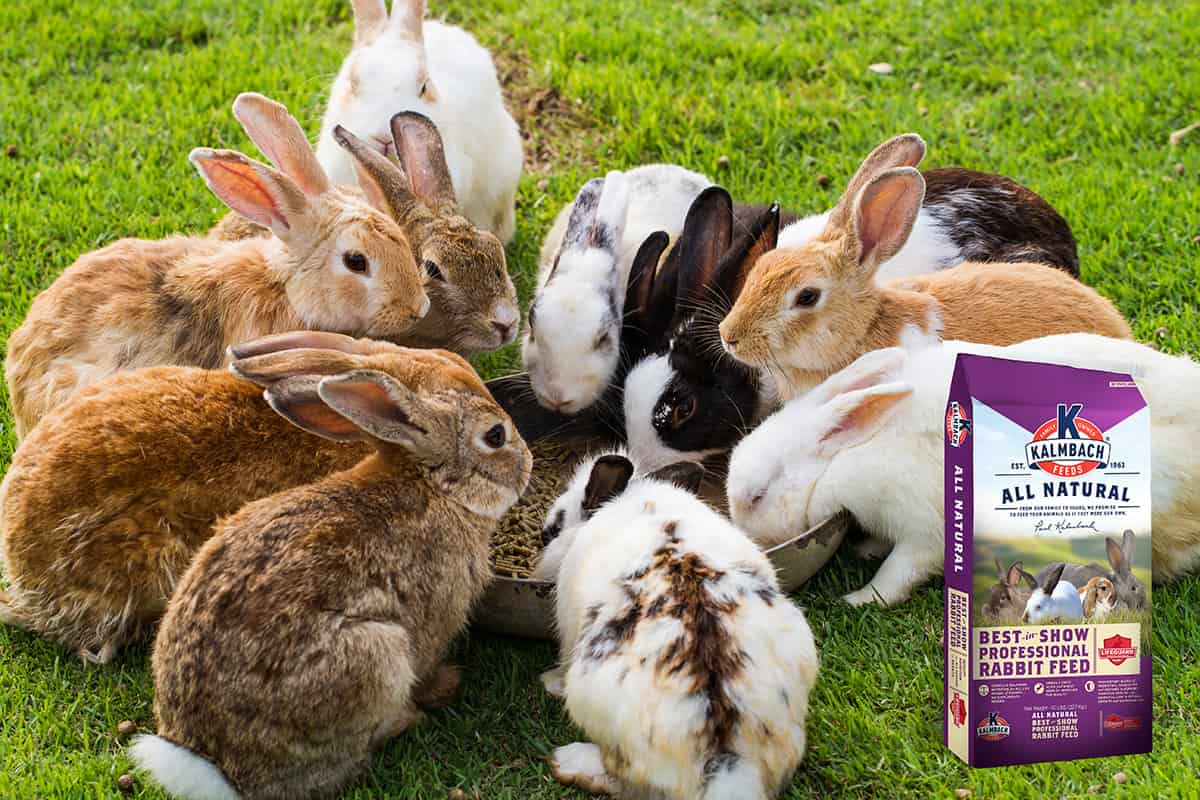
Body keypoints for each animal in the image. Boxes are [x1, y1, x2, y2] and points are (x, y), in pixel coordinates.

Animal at [130, 344, 532, 800]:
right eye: (495, 436)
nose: (529, 461)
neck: (436, 487)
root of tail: (215, 765)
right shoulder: (435, 620)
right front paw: (442, 686)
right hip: (376, 655)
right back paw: (408, 718)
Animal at [545, 454, 818, 800]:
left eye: (553, 529)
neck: (639, 501)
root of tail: (726, 764)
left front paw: (550, 682)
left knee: (620, 781)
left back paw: (568, 761)